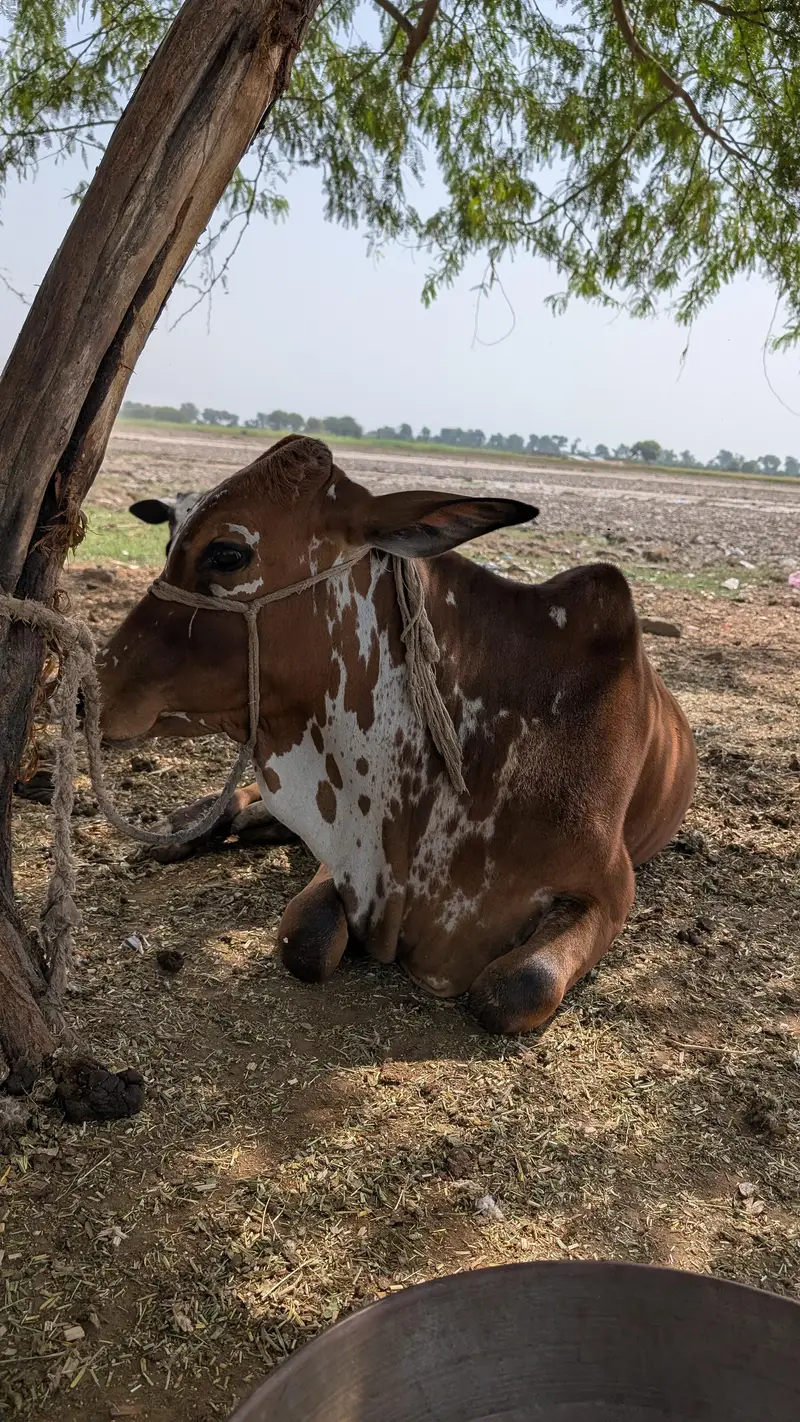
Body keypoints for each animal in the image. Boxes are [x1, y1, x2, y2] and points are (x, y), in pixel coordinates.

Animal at [98, 435, 696, 1034]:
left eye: (226, 553)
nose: (92, 687)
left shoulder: (610, 888)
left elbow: (515, 988)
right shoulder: (352, 855)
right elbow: (304, 938)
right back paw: (191, 825)